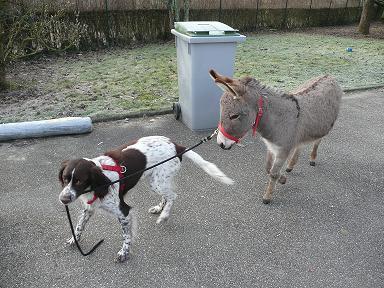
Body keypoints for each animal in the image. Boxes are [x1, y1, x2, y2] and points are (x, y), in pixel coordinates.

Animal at [59, 136, 234, 262]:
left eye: (79, 181)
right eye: (66, 178)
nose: (63, 199)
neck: (100, 181)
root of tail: (177, 146)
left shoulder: (124, 211)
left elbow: (127, 236)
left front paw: (124, 253)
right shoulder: (89, 207)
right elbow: (79, 225)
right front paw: (74, 240)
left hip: (157, 182)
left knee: (173, 196)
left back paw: (164, 216)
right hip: (156, 180)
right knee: (167, 195)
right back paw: (159, 209)